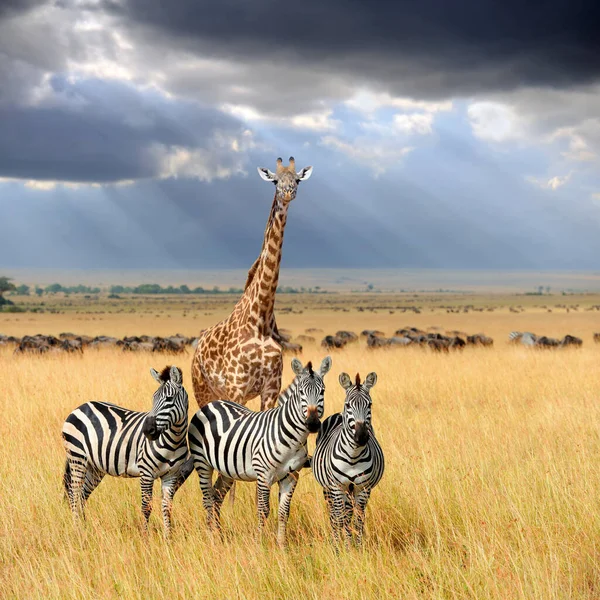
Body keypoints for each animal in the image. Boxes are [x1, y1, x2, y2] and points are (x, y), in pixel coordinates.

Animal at [61, 366, 189, 536]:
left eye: (169, 399)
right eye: (153, 398)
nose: (147, 430)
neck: (174, 441)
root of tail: (81, 406)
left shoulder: (171, 475)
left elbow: (167, 508)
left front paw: (168, 538)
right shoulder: (146, 472)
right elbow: (146, 507)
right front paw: (145, 537)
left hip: (94, 468)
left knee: (82, 496)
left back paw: (85, 529)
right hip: (77, 458)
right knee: (74, 495)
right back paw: (77, 531)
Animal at [188, 356, 330, 548]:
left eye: (322, 391)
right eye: (301, 392)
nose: (313, 423)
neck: (292, 438)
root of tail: (212, 403)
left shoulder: (291, 477)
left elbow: (284, 512)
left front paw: (281, 546)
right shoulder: (264, 475)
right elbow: (263, 510)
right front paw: (259, 545)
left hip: (227, 469)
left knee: (216, 496)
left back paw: (219, 535)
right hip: (202, 463)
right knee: (208, 499)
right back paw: (211, 538)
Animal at [191, 156, 314, 412]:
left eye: (297, 179)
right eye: (275, 180)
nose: (288, 192)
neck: (261, 316)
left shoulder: (271, 387)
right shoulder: (237, 387)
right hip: (202, 389)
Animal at [310, 372, 384, 552]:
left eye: (369, 404)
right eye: (348, 405)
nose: (362, 437)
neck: (353, 456)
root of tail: (337, 414)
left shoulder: (362, 488)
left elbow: (358, 520)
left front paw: (357, 548)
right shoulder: (337, 487)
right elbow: (339, 518)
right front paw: (340, 548)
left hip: (351, 490)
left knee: (350, 514)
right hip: (329, 489)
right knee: (334, 515)